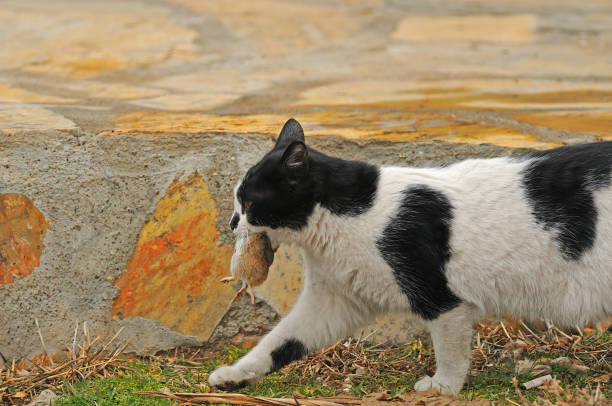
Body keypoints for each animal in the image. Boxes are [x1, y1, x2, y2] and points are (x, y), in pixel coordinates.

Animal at [210, 119, 612, 394]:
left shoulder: (442, 300)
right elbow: (279, 340)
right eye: (237, 201)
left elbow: (450, 352)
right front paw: (234, 375)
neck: (349, 215)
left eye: (249, 203)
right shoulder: (331, 302)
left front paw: (444, 388)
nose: (231, 222)